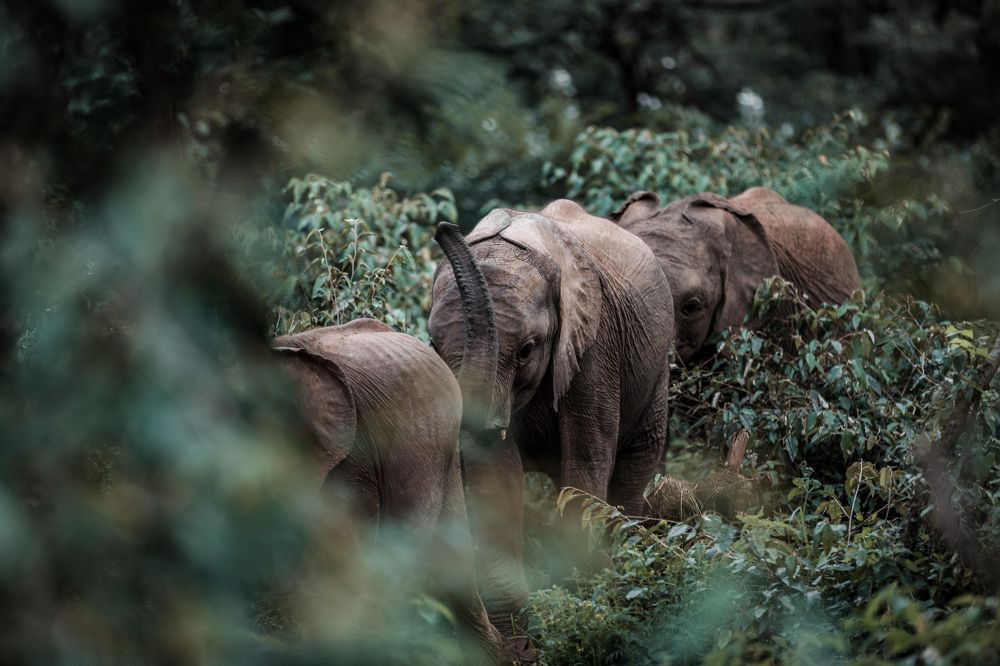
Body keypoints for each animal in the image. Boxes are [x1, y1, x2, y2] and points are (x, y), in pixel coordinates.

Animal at [428, 200, 674, 652]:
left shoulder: (596, 344)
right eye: (434, 346)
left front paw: (584, 602)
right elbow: (494, 471)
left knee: (636, 458)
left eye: (527, 350)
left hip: (655, 369)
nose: (443, 226)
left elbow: (586, 459)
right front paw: (517, 630)